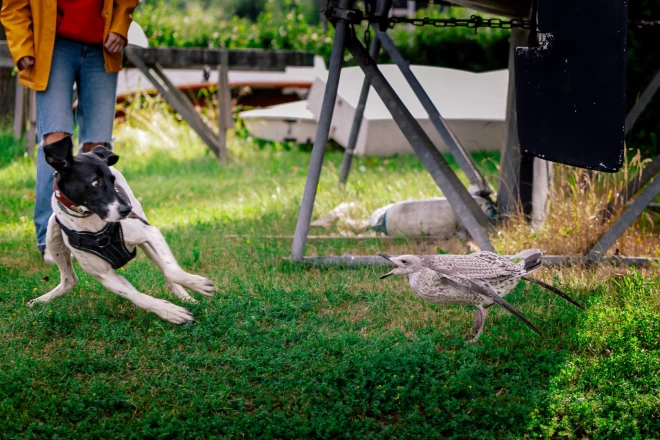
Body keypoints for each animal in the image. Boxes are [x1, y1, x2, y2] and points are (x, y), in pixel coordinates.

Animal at [29, 138, 214, 324]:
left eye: (112, 180)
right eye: (95, 183)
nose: (126, 210)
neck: (94, 224)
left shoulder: (151, 233)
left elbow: (171, 270)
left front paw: (198, 284)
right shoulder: (105, 275)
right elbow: (137, 296)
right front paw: (170, 312)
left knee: (164, 268)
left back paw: (186, 295)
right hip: (52, 235)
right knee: (69, 279)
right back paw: (39, 301)